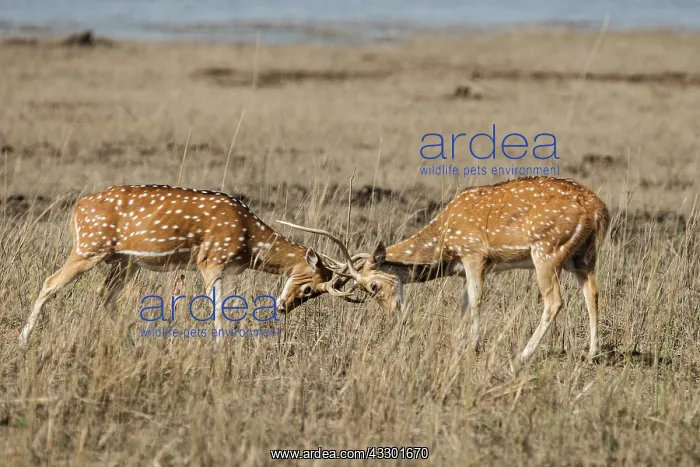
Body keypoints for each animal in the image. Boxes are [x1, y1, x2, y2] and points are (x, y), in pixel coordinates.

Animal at [19, 184, 354, 347]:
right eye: (309, 288)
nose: (283, 307)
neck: (248, 238)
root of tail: (77, 208)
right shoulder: (211, 260)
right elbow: (218, 307)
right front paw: (221, 347)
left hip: (125, 261)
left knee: (104, 294)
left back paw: (129, 339)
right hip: (89, 247)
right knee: (50, 283)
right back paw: (23, 340)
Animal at [280, 176, 610, 369]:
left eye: (373, 286)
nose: (394, 313)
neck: (446, 244)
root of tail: (599, 210)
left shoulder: (475, 254)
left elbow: (476, 301)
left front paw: (475, 346)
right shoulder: (464, 269)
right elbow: (463, 304)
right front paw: (458, 343)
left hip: (547, 251)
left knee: (554, 301)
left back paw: (523, 355)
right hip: (582, 257)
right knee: (593, 292)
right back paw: (593, 353)